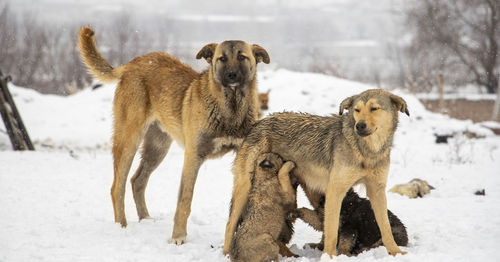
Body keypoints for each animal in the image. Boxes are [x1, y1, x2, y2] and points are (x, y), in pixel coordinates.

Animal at [77, 26, 270, 244]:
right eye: (222, 58)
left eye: (242, 57)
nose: (231, 75)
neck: (230, 109)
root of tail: (130, 65)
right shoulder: (193, 157)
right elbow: (185, 200)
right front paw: (178, 237)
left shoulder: (242, 157)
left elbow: (238, 202)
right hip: (129, 140)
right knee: (117, 186)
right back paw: (122, 227)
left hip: (157, 147)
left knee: (137, 180)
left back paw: (145, 219)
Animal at [224, 89, 410, 256]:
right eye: (357, 110)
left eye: (374, 108)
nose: (359, 125)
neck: (366, 151)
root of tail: (259, 122)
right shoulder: (336, 191)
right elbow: (333, 233)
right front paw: (329, 257)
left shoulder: (376, 191)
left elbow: (385, 228)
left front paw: (396, 253)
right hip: (244, 187)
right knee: (229, 225)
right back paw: (226, 254)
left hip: (312, 192)